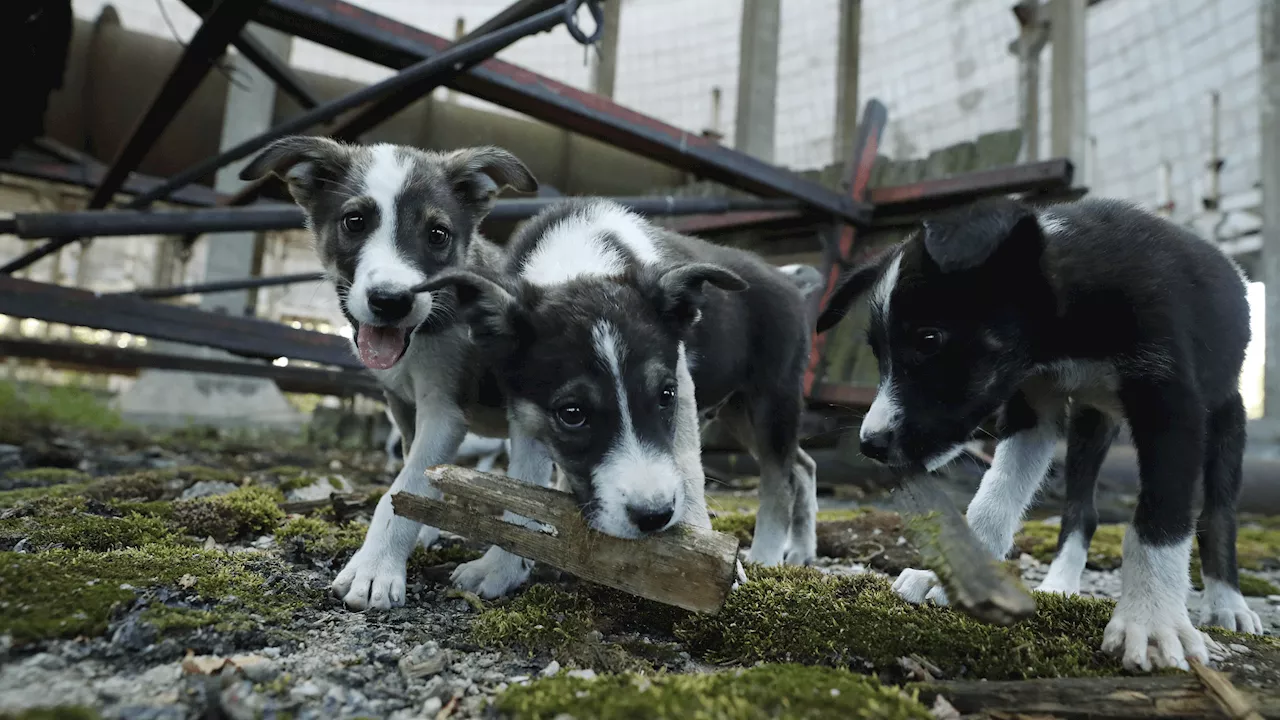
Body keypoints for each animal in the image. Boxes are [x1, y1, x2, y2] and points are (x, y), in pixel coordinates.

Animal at [241, 135, 558, 604]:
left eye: (438, 234)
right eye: (354, 222)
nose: (391, 301)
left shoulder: (443, 412)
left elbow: (400, 489)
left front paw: (375, 570)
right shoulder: (402, 406)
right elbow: (414, 477)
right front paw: (421, 529)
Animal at [422, 196, 819, 561]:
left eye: (665, 395)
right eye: (572, 414)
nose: (654, 518)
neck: (578, 261)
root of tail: (788, 280)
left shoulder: (683, 388)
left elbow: (689, 469)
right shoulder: (524, 409)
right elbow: (525, 478)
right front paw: (498, 570)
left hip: (772, 400)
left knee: (780, 482)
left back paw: (766, 557)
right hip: (737, 410)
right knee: (803, 466)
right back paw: (801, 550)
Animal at [814, 194, 1264, 666]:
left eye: (929, 338)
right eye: (878, 353)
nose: (871, 444)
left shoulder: (1173, 408)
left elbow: (1161, 517)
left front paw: (1152, 622)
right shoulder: (1031, 405)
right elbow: (994, 498)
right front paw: (960, 575)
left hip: (1226, 415)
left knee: (1218, 514)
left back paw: (1227, 603)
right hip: (1090, 421)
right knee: (1081, 510)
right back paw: (1060, 585)